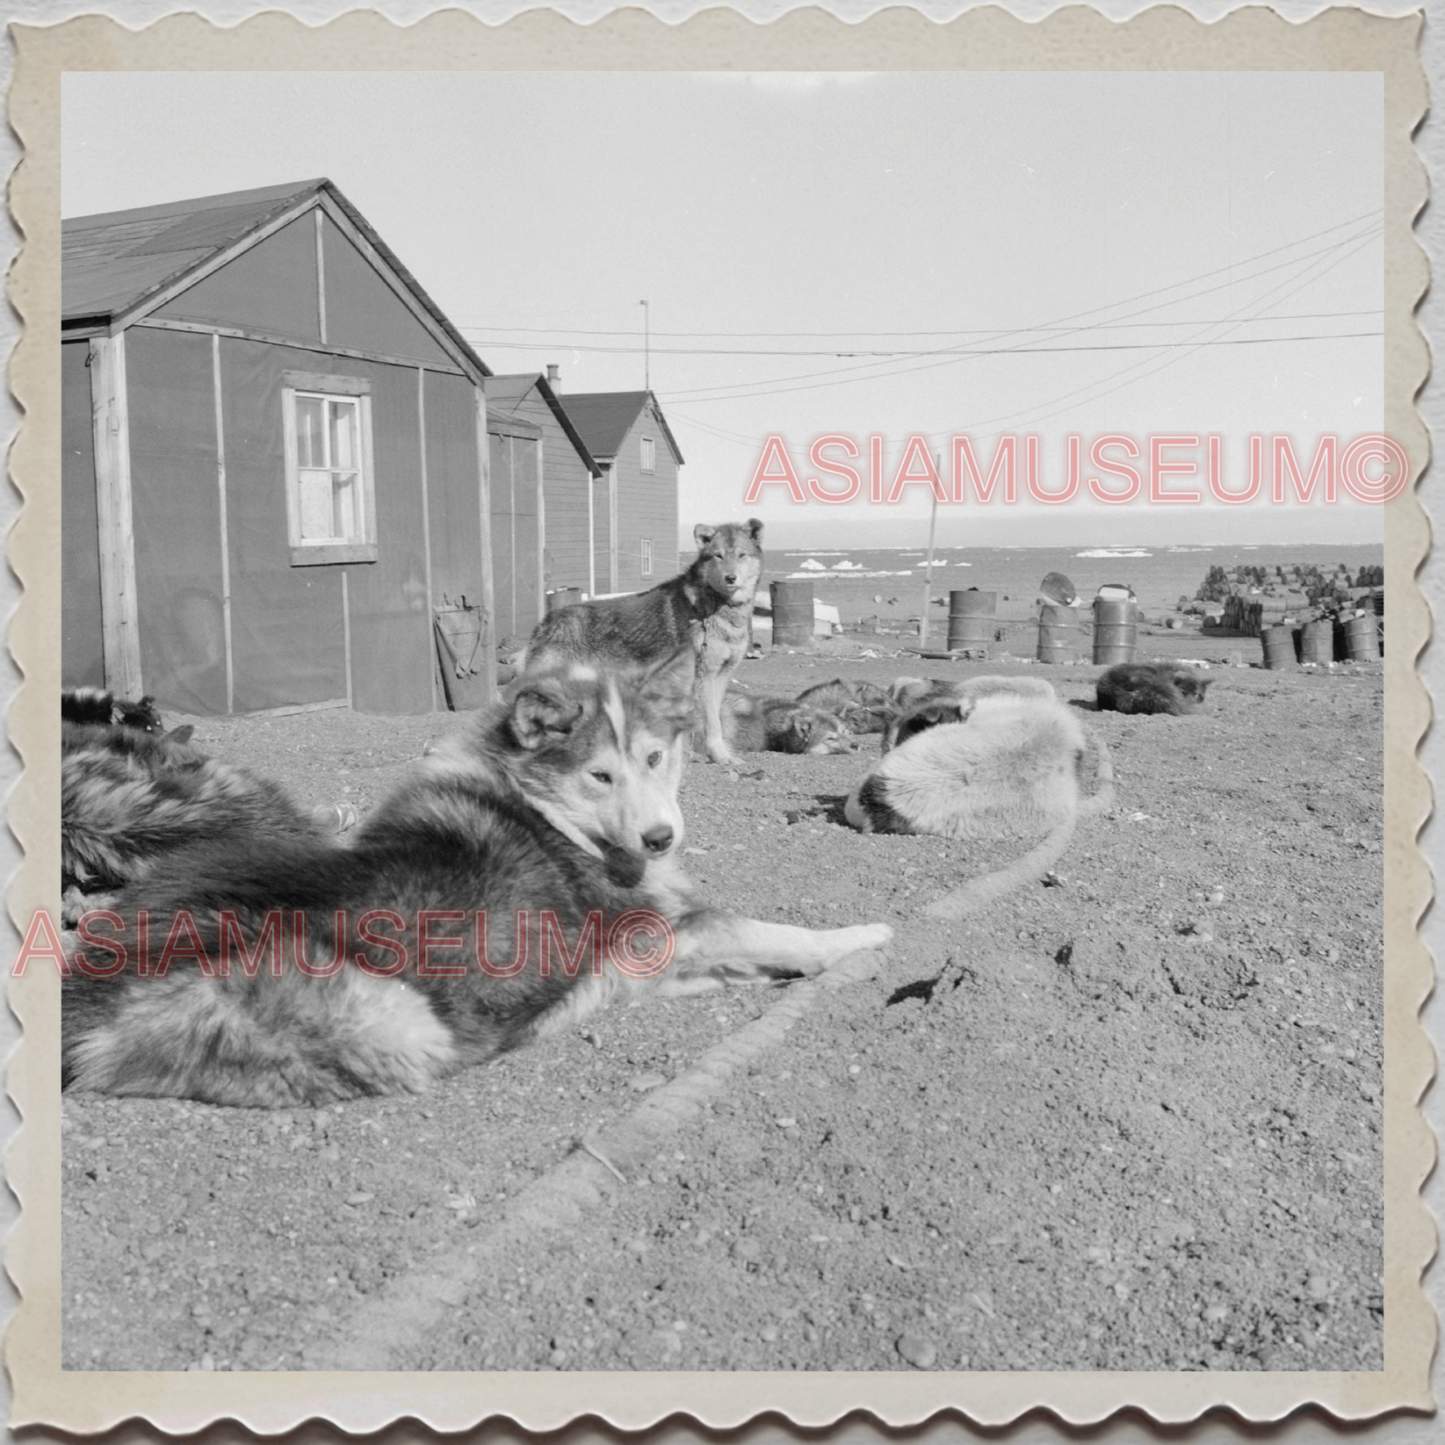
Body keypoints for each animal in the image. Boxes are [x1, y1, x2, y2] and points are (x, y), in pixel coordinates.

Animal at [523, 523, 768, 768]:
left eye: (741, 555)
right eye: (718, 556)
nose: (730, 578)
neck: (717, 607)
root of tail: (546, 622)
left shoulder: (721, 675)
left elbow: (713, 722)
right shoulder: (703, 677)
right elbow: (709, 723)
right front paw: (713, 757)